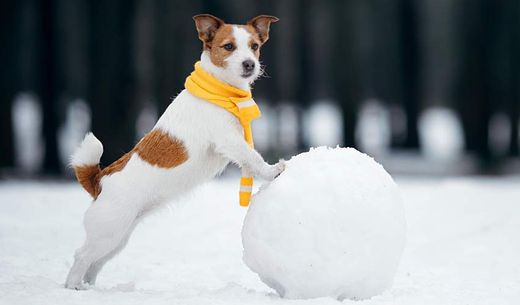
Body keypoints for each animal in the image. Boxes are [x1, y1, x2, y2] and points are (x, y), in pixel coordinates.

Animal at [66, 14, 284, 288]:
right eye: (229, 46)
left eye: (254, 46)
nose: (250, 64)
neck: (221, 90)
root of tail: (99, 180)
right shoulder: (229, 140)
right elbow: (253, 157)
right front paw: (273, 171)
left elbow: (250, 159)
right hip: (108, 230)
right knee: (81, 255)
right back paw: (73, 286)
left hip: (118, 237)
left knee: (95, 263)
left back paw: (89, 287)